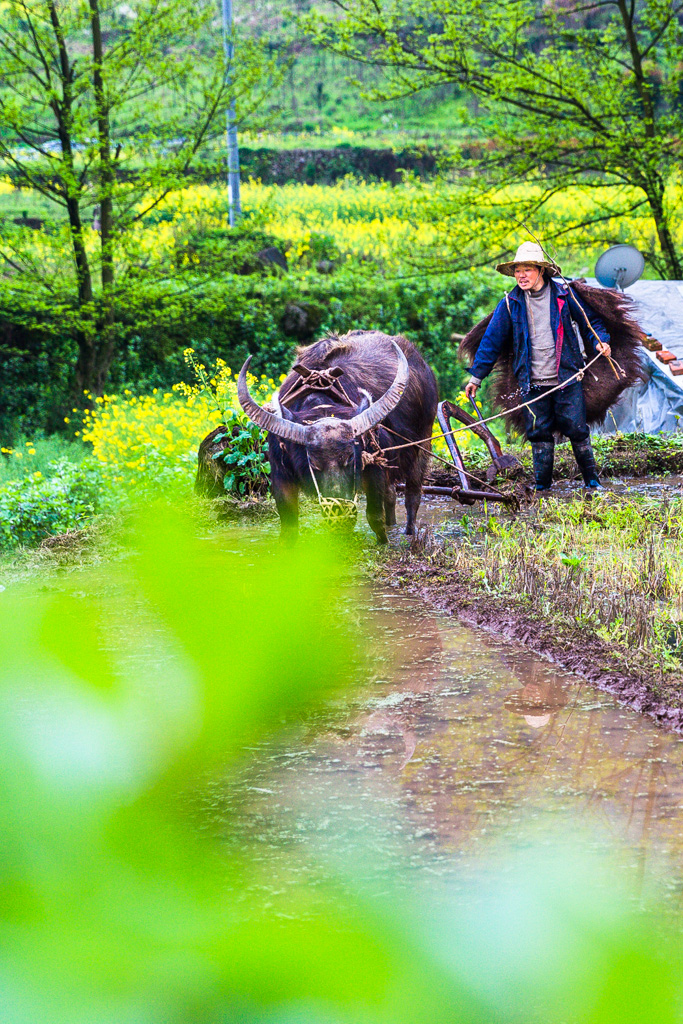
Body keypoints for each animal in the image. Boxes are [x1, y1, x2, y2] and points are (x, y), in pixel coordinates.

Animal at [236, 333, 438, 544]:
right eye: (313, 464)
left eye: (350, 459)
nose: (338, 505)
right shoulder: (280, 472)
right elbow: (289, 524)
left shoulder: (374, 468)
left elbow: (374, 516)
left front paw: (383, 541)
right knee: (390, 494)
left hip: (423, 441)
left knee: (412, 494)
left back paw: (409, 531)